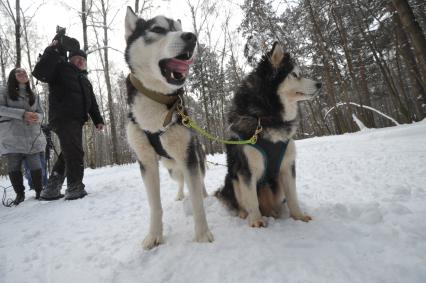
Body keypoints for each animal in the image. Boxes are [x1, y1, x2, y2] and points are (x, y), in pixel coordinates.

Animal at [123, 6, 213, 250]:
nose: (191, 37)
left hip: (193, 157)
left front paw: (202, 234)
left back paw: (203, 194)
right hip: (172, 168)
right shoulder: (146, 162)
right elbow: (155, 206)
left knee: (198, 181)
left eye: (179, 29)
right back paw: (181, 195)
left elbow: (197, 201)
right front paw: (154, 236)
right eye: (157, 29)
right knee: (181, 180)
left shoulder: (188, 156)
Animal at [215, 42, 322, 229]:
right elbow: (251, 199)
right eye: (295, 75)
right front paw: (256, 221)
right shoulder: (246, 169)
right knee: (240, 201)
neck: (267, 118)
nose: (320, 84)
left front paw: (299, 217)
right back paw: (245, 213)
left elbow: (293, 197)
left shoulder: (287, 166)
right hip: (232, 178)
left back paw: (274, 212)